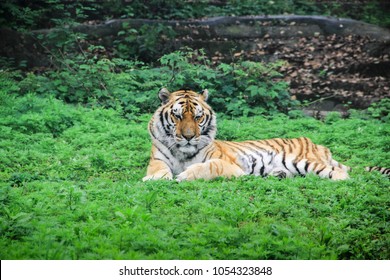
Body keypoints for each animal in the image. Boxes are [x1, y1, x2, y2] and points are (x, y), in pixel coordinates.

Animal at [142, 88, 386, 183]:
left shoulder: (229, 165)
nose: (189, 137)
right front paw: (154, 179)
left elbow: (208, 166)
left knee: (340, 174)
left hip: (303, 161)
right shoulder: (158, 160)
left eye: (198, 117)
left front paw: (185, 175)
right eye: (178, 116)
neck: (183, 152)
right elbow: (158, 171)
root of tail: (318, 145)